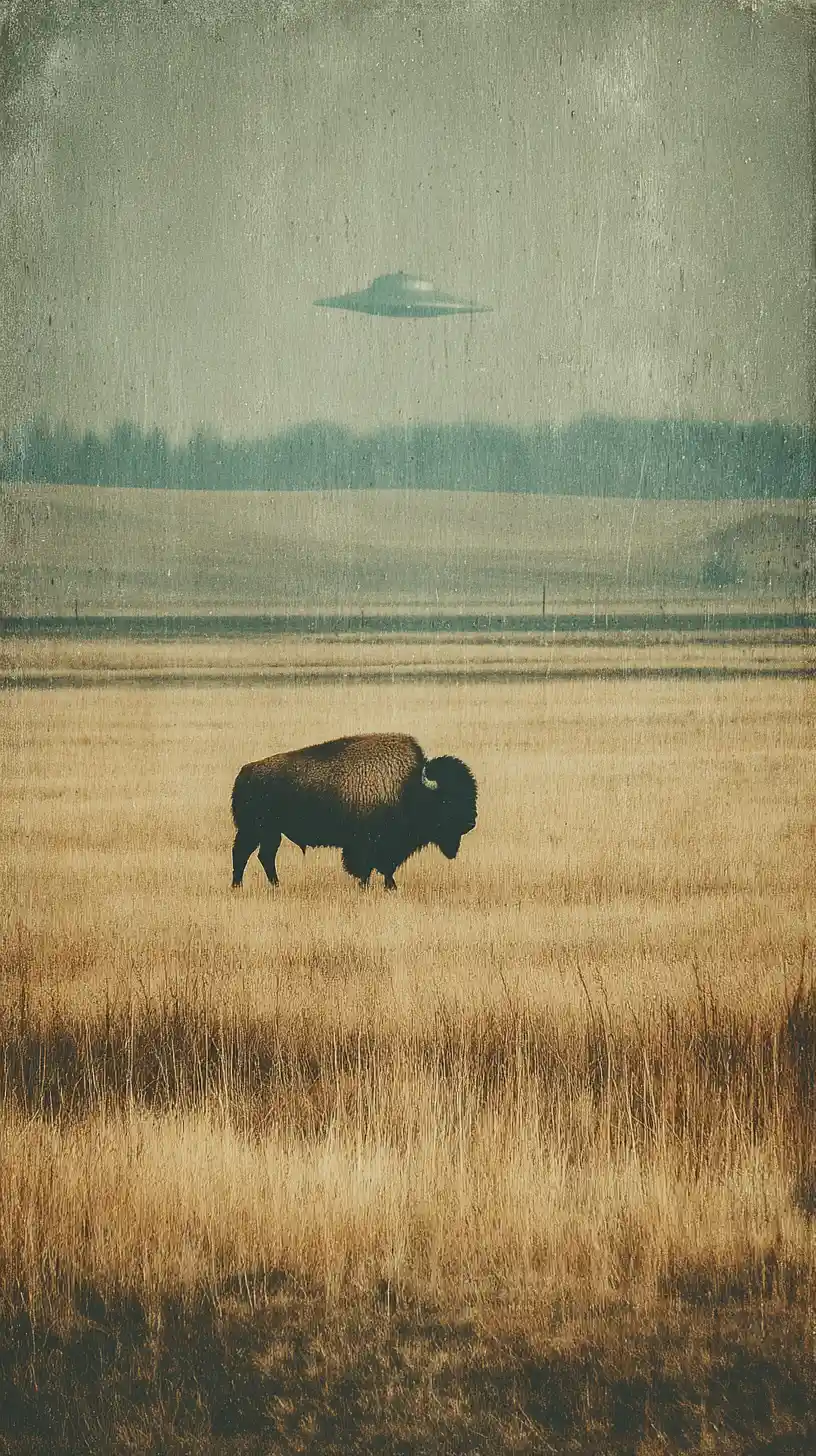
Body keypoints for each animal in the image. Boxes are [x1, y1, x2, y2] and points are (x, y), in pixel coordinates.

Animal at [230, 732, 477, 891]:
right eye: (448, 799)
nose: (470, 822)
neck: (409, 786)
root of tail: (245, 772)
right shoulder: (366, 845)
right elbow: (370, 867)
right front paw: (370, 886)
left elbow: (386, 868)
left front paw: (390, 887)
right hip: (255, 831)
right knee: (243, 854)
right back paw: (238, 886)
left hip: (270, 833)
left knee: (264, 856)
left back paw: (274, 885)